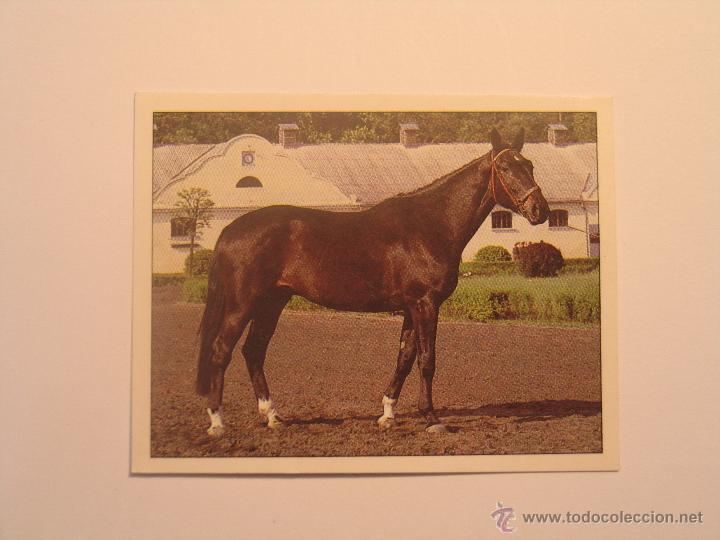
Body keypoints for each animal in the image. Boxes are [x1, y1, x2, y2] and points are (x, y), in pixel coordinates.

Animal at [195, 127, 549, 435]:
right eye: (505, 167)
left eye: (530, 165)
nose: (540, 210)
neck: (429, 224)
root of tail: (230, 230)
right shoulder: (425, 304)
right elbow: (427, 360)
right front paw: (431, 418)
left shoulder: (410, 308)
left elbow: (404, 358)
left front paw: (388, 414)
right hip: (243, 304)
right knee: (221, 351)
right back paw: (217, 423)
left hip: (271, 303)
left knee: (254, 351)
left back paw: (272, 417)